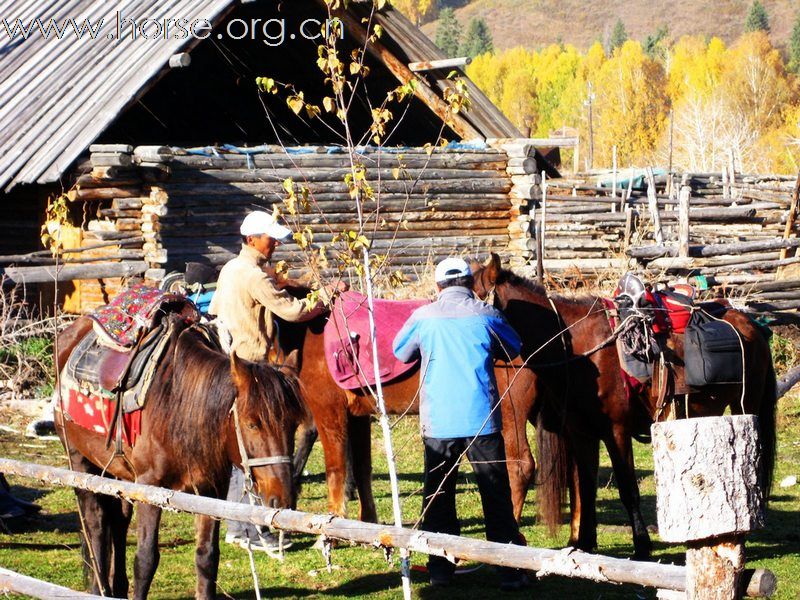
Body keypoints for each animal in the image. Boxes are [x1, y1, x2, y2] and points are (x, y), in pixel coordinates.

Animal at [55, 316, 306, 596]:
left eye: (293, 424)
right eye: (252, 424)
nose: (282, 498)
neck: (177, 405)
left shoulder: (211, 491)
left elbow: (207, 557)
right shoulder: (150, 488)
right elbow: (145, 559)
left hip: (119, 475)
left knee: (119, 522)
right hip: (81, 463)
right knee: (95, 524)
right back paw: (99, 589)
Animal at [472, 252, 780, 556]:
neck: (579, 350)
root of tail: (751, 325)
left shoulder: (616, 431)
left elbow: (627, 487)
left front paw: (641, 546)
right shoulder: (581, 433)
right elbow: (585, 486)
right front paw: (583, 544)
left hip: (745, 405)